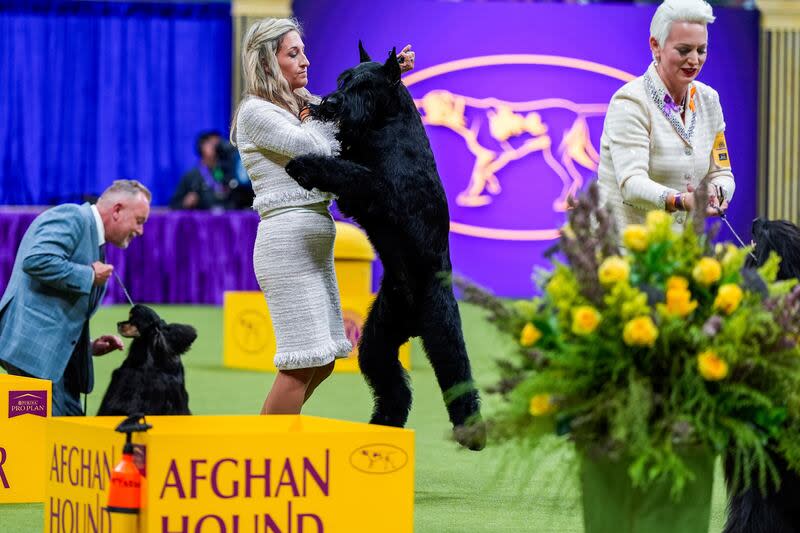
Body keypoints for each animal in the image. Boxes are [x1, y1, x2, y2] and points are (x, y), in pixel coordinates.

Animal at [288, 42, 488, 448]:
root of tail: (412, 320)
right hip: (378, 340)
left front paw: (304, 164)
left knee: (458, 377)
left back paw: (471, 433)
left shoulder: (383, 190)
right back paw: (383, 422)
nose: (331, 102)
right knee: (393, 385)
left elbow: (347, 171)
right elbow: (345, 163)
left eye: (365, 86)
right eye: (342, 79)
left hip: (442, 333)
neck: (385, 125)